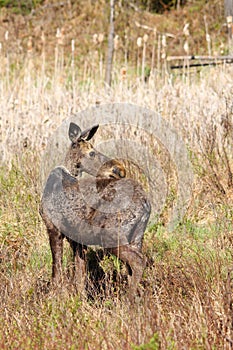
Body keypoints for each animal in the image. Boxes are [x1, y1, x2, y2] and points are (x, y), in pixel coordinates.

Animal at [39, 122, 151, 296]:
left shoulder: (53, 228)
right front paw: (79, 297)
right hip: (137, 236)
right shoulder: (76, 239)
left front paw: (54, 295)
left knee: (138, 261)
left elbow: (56, 269)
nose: (119, 169)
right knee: (132, 268)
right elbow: (79, 273)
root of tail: (146, 204)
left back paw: (128, 300)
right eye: (91, 153)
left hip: (111, 235)